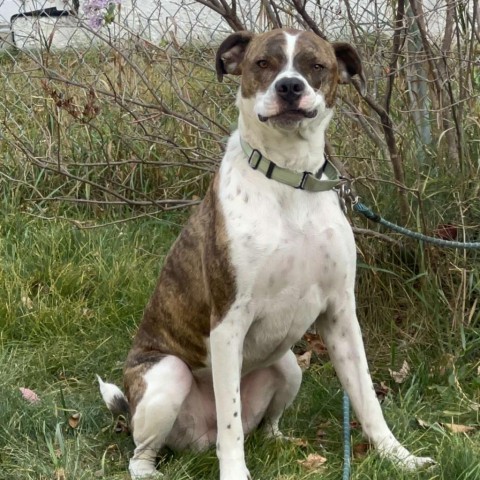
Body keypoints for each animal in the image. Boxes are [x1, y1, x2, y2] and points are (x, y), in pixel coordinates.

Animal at [98, 28, 436, 478]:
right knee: (145, 450)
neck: (290, 178)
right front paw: (235, 473)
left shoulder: (341, 315)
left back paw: (282, 441)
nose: (290, 87)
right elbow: (230, 424)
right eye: (263, 63)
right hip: (167, 376)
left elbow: (366, 397)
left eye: (316, 65)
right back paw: (151, 467)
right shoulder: (227, 324)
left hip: (288, 365)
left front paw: (399, 457)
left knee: (263, 424)